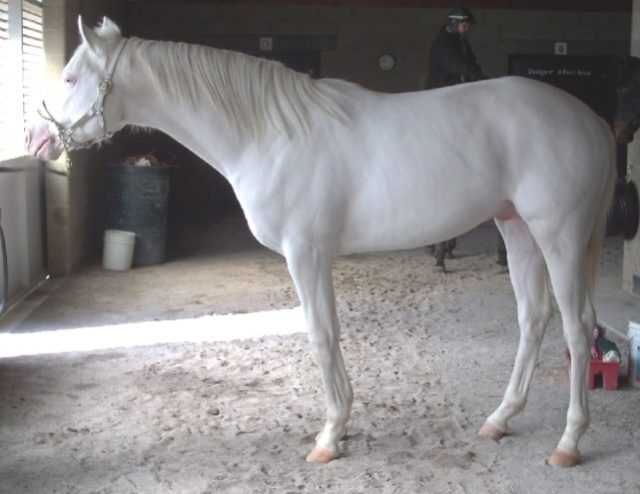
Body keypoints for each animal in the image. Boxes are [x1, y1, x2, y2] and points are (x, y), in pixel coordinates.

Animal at [27, 19, 616, 466]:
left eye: (72, 76)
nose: (36, 137)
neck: (269, 133)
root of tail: (591, 121)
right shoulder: (312, 256)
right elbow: (328, 334)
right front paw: (341, 425)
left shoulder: (306, 254)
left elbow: (320, 336)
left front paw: (330, 435)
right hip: (516, 229)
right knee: (533, 318)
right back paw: (499, 419)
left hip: (558, 235)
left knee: (576, 325)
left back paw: (568, 443)